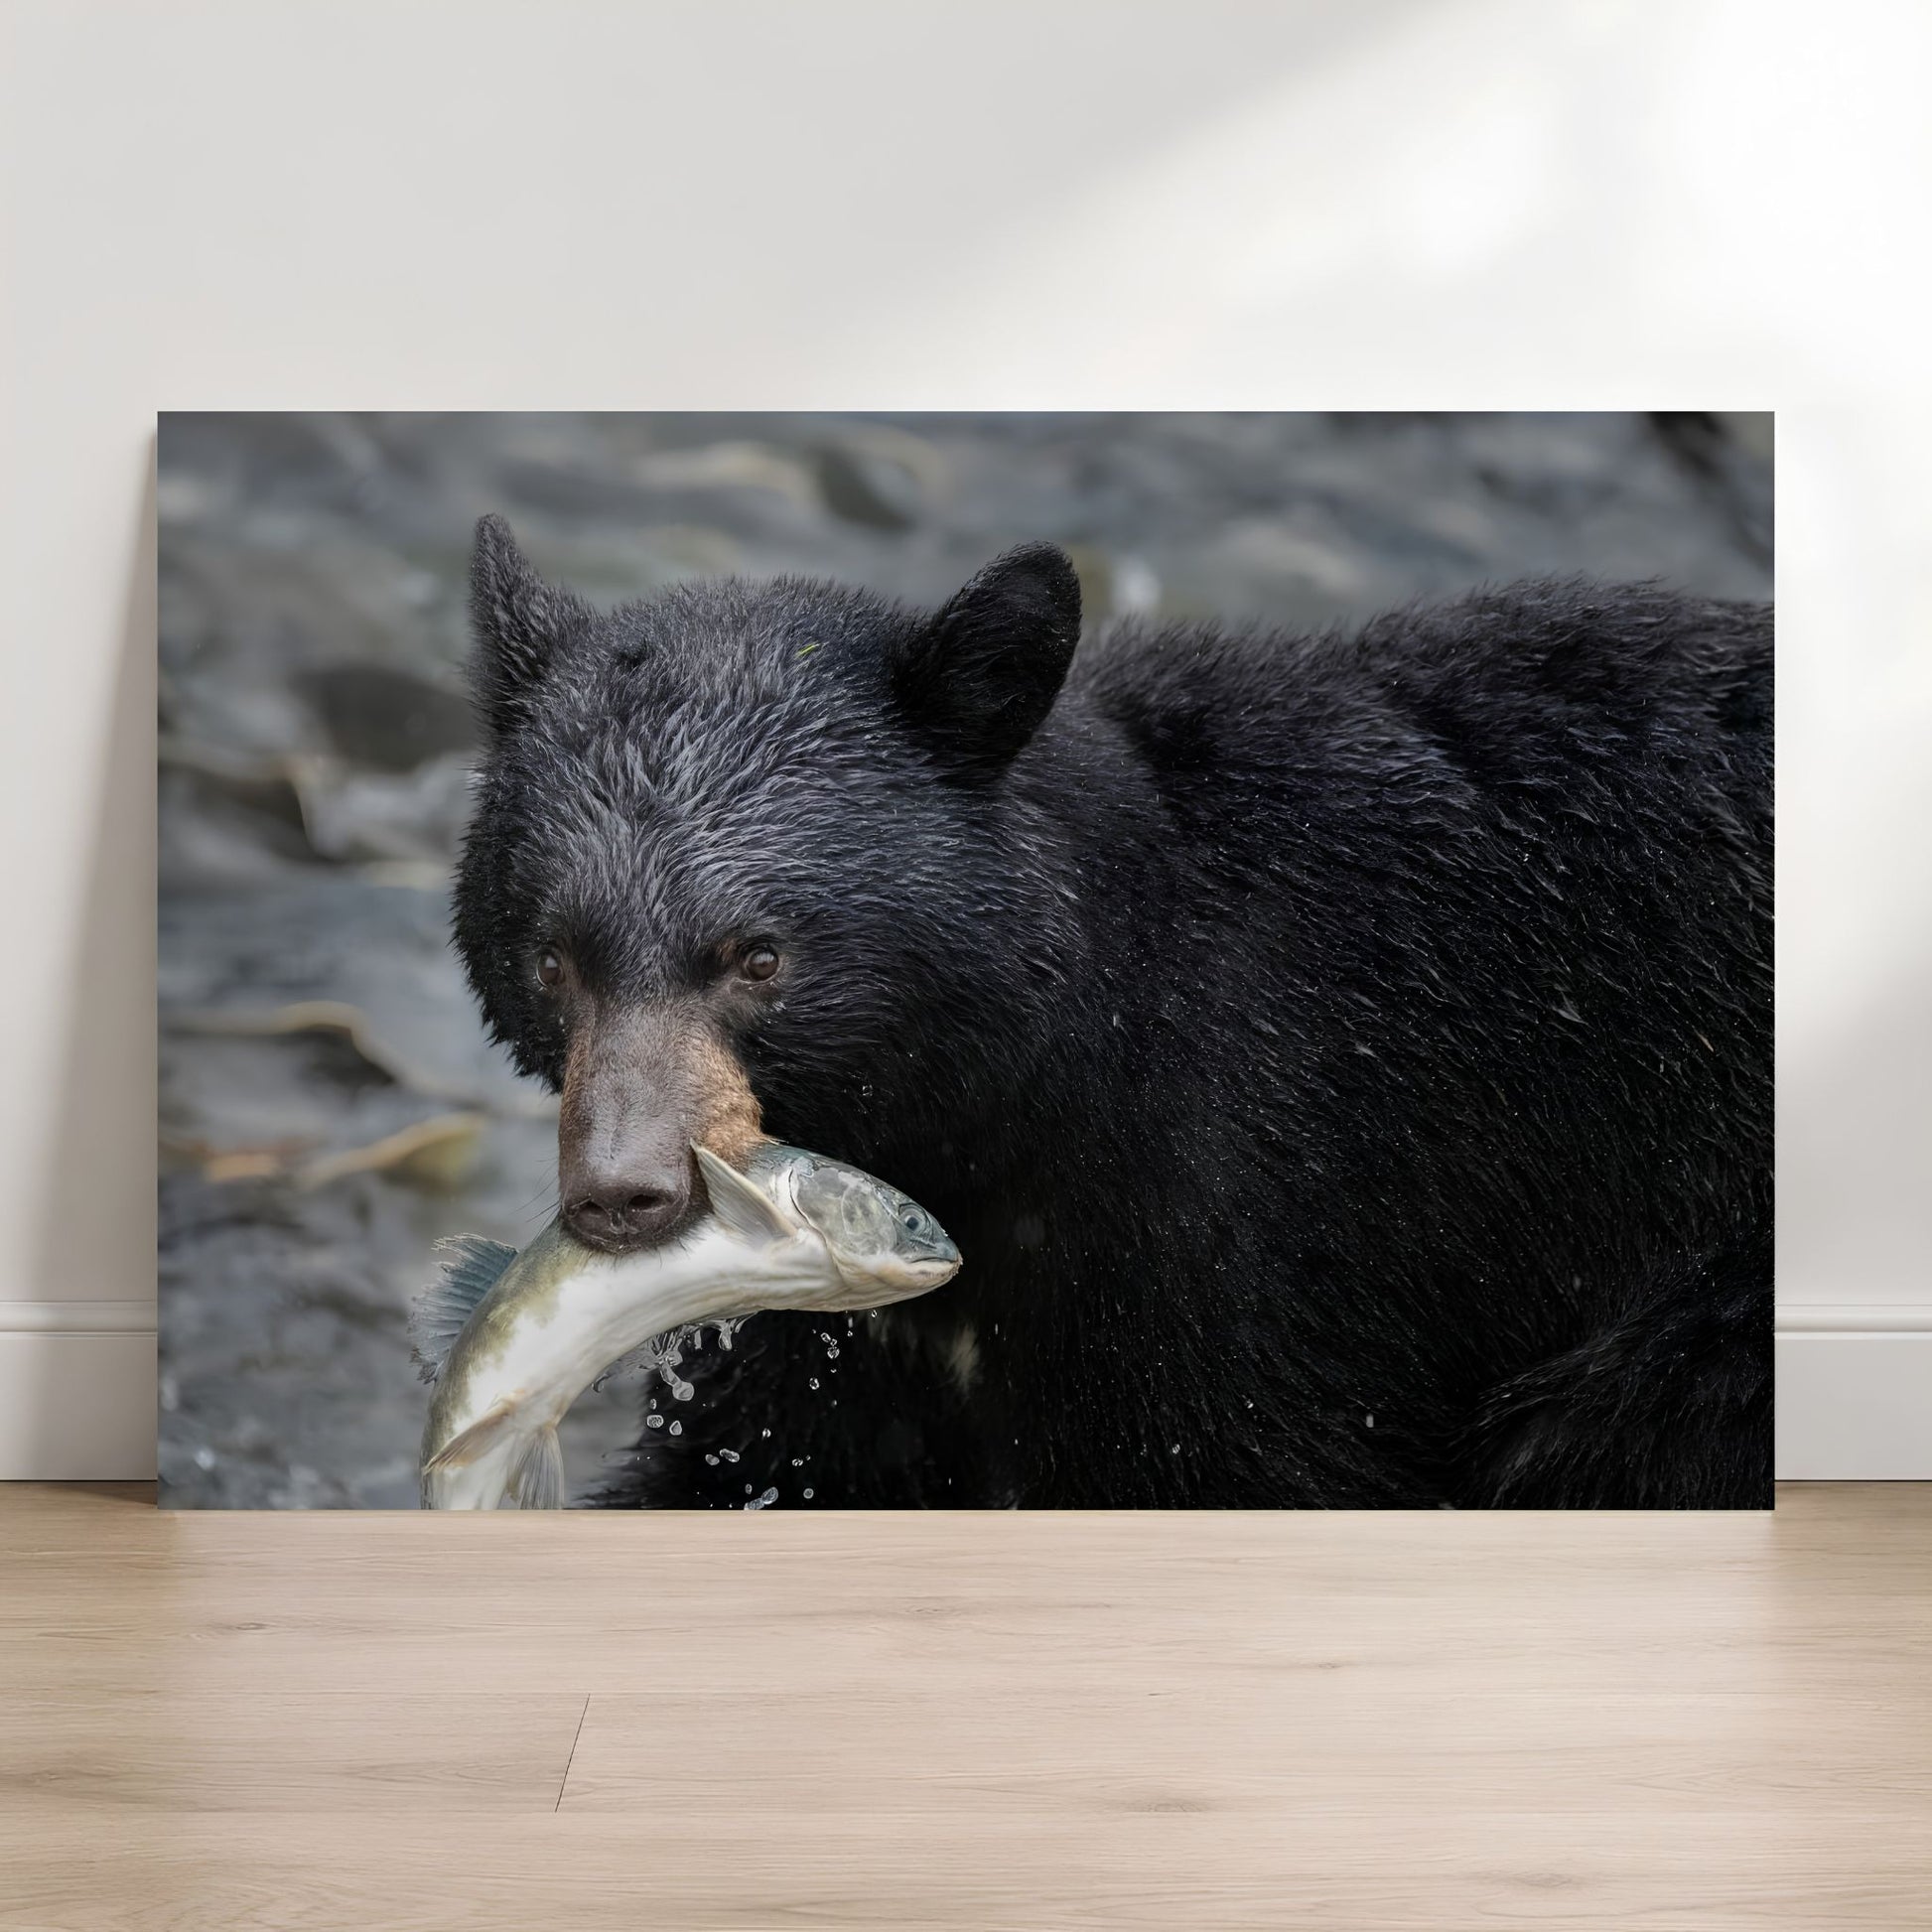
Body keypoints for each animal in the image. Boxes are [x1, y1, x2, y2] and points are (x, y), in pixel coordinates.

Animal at [452, 515, 1773, 1509]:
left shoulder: (1241, 1229)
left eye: (757, 956)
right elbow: (770, 1462)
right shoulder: (819, 1317)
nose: (623, 1194)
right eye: (553, 957)